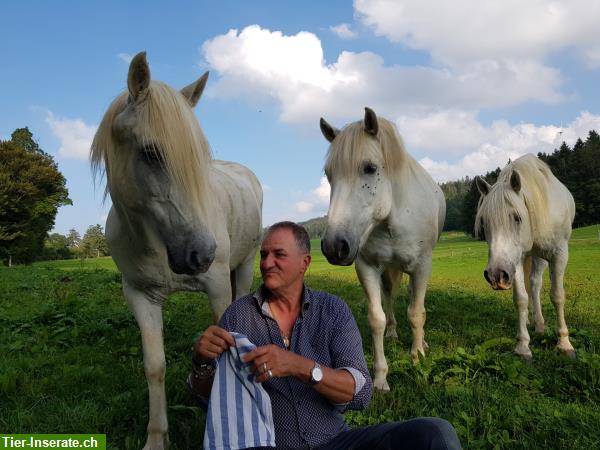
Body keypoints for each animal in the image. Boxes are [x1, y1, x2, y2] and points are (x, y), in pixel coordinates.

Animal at [91, 52, 262, 450]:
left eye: (197, 157)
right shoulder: (139, 295)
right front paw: (156, 437)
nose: (202, 252)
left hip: (245, 265)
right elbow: (155, 366)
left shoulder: (218, 286)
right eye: (151, 153)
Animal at [318, 108, 446, 390]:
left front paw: (417, 358)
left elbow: (416, 313)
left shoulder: (422, 267)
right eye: (329, 174)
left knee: (414, 302)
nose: (334, 246)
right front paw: (380, 377)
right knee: (389, 298)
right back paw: (393, 333)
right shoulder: (367, 266)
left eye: (370, 168)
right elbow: (377, 318)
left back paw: (421, 343)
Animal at [474, 154, 576, 358]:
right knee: (533, 286)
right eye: (484, 222)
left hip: (540, 258)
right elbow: (521, 299)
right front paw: (522, 346)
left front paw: (564, 343)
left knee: (536, 283)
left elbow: (558, 296)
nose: (495, 275)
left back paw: (539, 324)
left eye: (517, 218)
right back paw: (535, 322)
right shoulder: (516, 260)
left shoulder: (559, 254)